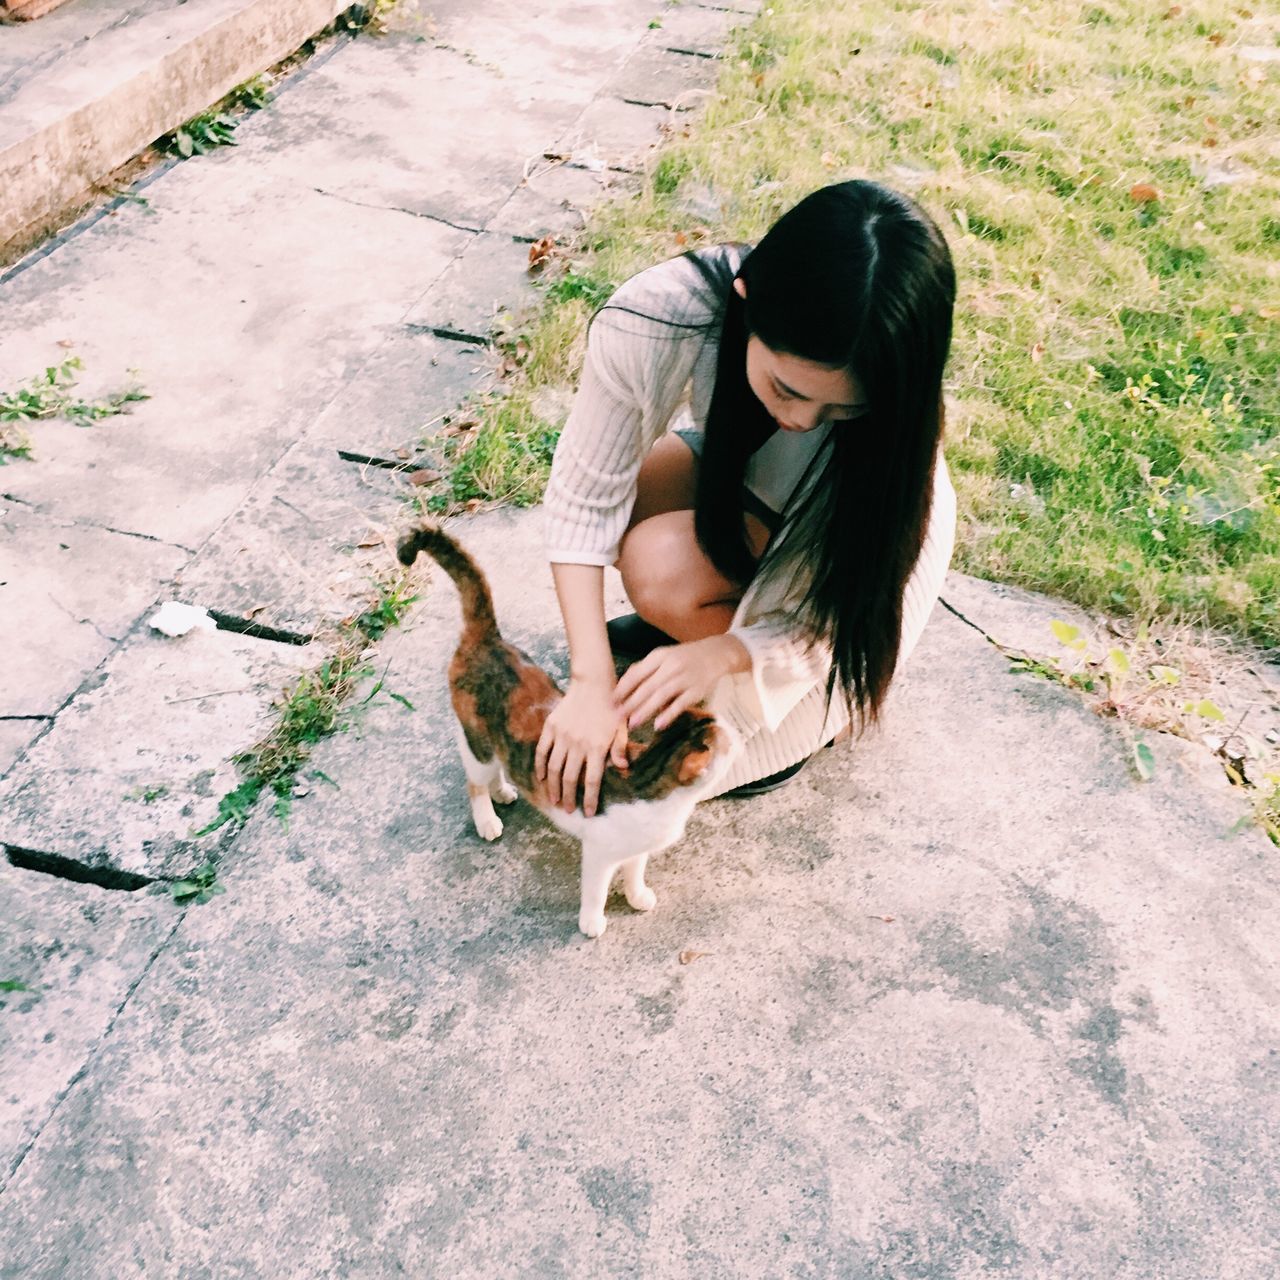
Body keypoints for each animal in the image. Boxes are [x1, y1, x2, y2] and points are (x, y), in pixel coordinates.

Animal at [396, 522, 742, 942]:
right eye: (728, 742)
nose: (740, 735)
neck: (650, 781)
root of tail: (487, 639)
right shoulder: (599, 853)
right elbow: (595, 890)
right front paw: (592, 922)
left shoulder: (637, 849)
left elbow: (635, 870)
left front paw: (637, 895)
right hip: (475, 741)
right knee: (476, 780)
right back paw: (487, 818)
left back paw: (505, 790)